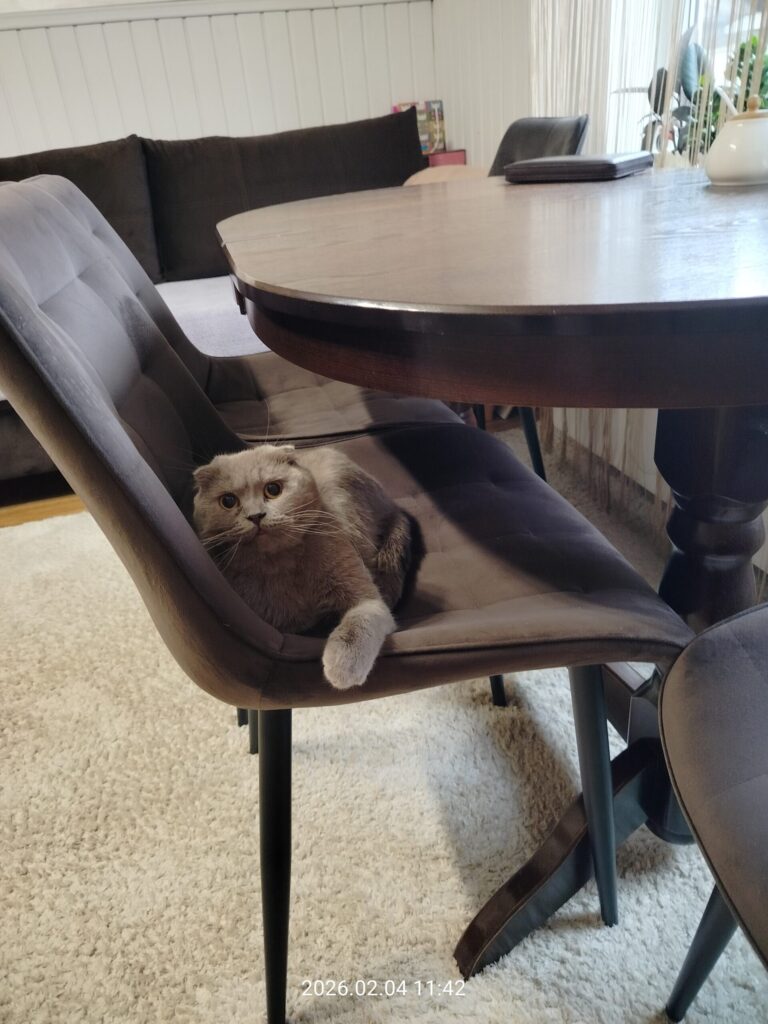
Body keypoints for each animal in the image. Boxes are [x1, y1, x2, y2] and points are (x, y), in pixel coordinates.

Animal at [192, 443, 412, 690]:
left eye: (273, 489)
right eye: (228, 501)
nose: (256, 516)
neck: (280, 565)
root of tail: (394, 506)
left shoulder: (368, 601)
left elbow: (356, 627)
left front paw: (342, 667)